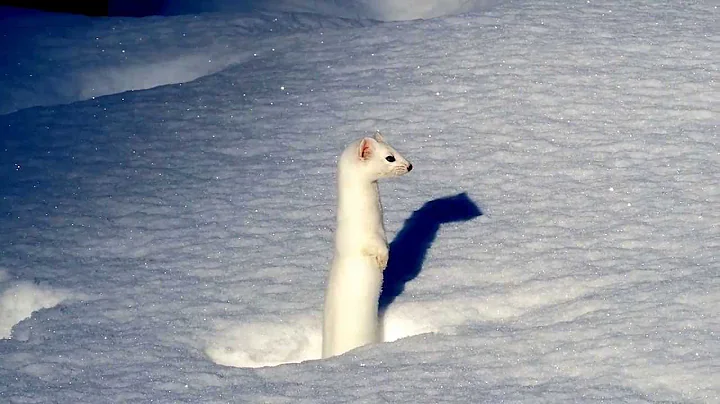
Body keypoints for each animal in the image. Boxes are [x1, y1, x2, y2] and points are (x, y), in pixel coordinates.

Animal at [324, 131, 414, 358]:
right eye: (389, 157)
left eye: (394, 148)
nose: (410, 165)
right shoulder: (363, 240)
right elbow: (377, 250)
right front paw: (383, 263)